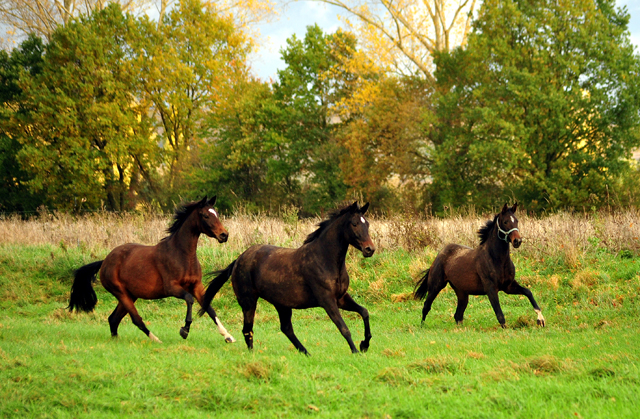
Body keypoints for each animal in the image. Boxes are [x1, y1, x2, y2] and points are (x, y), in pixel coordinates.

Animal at [67, 197, 235, 344]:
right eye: (206, 215)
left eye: (216, 213)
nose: (224, 235)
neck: (182, 255)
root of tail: (105, 261)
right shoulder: (172, 288)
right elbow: (189, 299)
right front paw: (184, 330)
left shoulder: (196, 286)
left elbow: (210, 308)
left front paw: (228, 336)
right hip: (120, 293)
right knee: (136, 319)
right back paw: (156, 340)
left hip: (130, 295)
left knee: (113, 319)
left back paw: (116, 341)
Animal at [198, 202, 372, 356]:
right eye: (355, 223)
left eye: (368, 224)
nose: (370, 249)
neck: (325, 259)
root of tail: (238, 259)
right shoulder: (327, 300)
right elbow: (343, 327)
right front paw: (356, 351)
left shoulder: (341, 298)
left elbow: (364, 312)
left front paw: (364, 344)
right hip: (248, 301)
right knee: (248, 329)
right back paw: (253, 355)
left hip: (281, 304)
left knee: (286, 328)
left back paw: (306, 353)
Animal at [416, 203, 544, 328]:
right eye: (505, 221)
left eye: (516, 220)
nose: (517, 241)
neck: (497, 260)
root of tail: (439, 254)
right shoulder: (491, 289)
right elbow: (500, 315)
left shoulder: (508, 286)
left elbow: (528, 292)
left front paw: (541, 320)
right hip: (436, 286)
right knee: (426, 306)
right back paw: (422, 326)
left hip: (462, 292)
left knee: (458, 315)